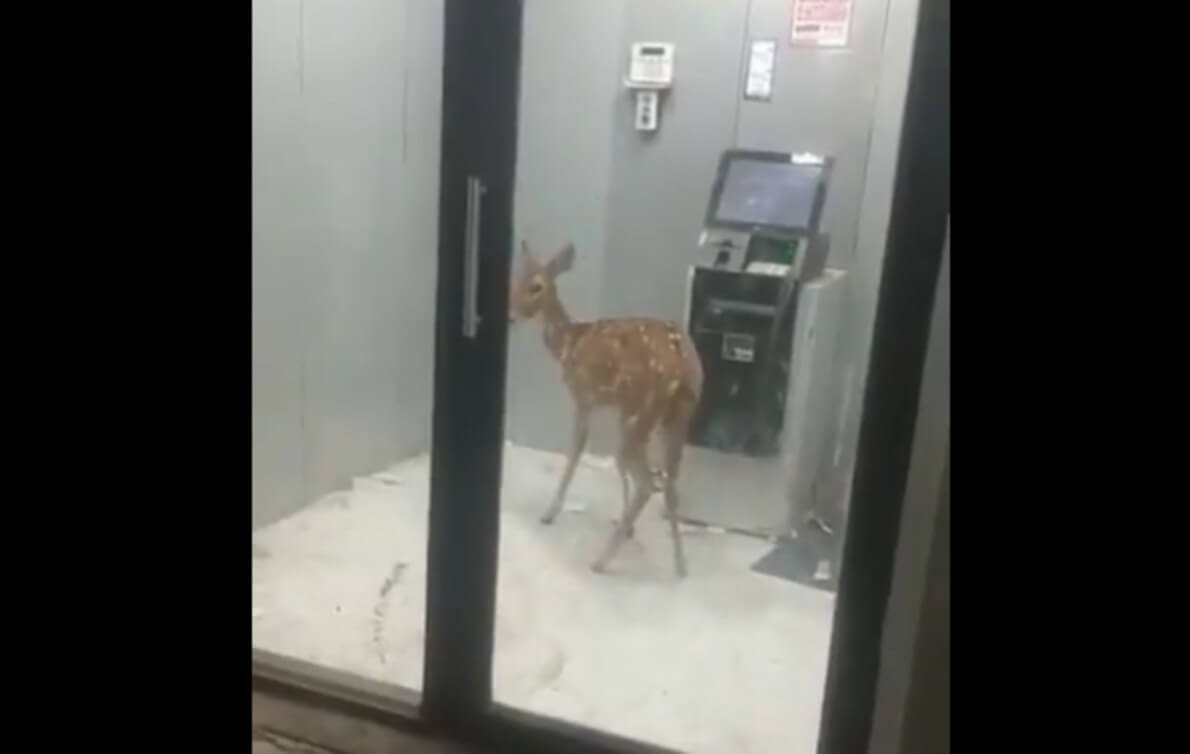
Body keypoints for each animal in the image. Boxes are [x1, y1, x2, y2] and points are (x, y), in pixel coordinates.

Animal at [508, 241, 704, 578]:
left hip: (639, 413)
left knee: (647, 482)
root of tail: (682, 369)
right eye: (512, 280)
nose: (509, 316)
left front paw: (549, 513)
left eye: (536, 286)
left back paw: (600, 561)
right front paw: (628, 528)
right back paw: (680, 565)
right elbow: (617, 468)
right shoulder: (611, 406)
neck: (568, 344)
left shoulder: (583, 397)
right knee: (669, 483)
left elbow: (576, 450)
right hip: (676, 417)